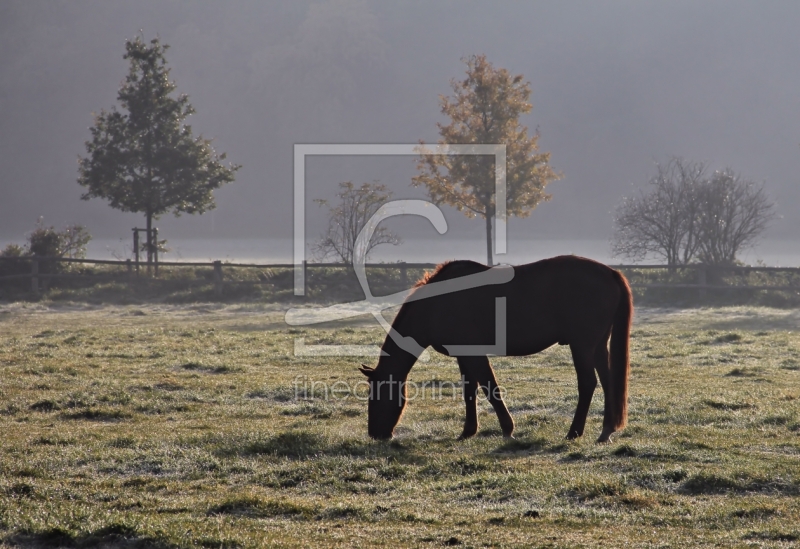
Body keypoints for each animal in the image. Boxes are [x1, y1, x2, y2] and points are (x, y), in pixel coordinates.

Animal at [360, 256, 632, 440]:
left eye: (378, 394)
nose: (376, 434)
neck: (437, 304)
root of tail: (611, 273)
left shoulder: (474, 354)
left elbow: (490, 387)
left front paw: (507, 429)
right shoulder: (464, 355)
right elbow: (470, 390)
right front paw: (468, 431)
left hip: (582, 346)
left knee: (587, 384)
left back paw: (574, 432)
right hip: (598, 346)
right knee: (608, 382)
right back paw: (606, 431)